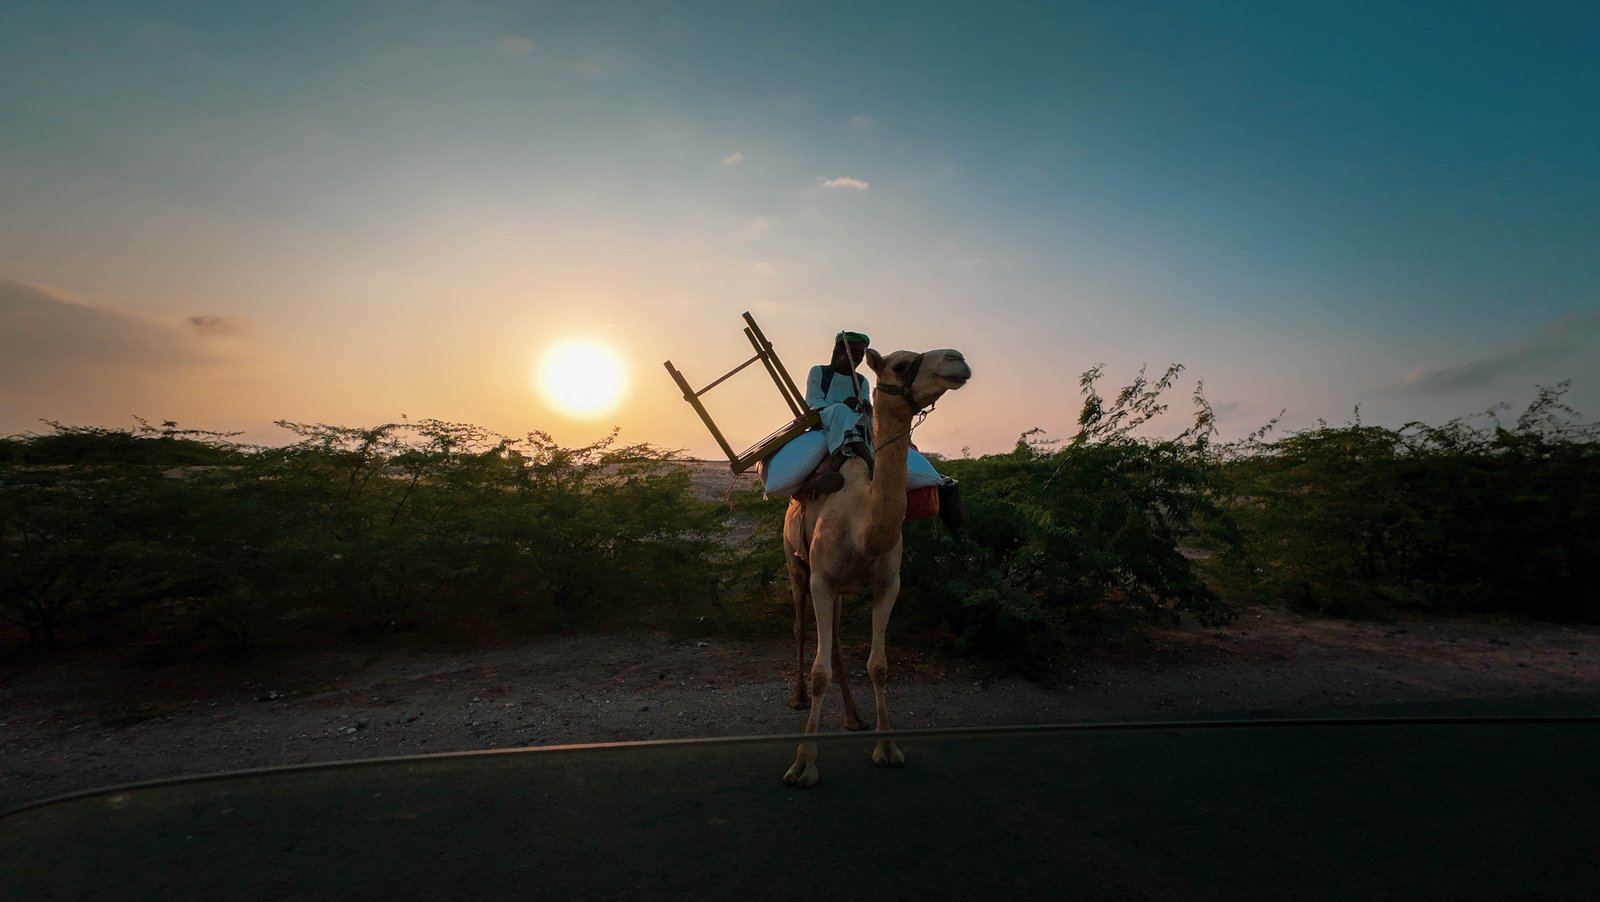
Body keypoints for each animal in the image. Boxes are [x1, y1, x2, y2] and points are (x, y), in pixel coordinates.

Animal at [781, 346, 972, 788]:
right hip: (795, 564)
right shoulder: (820, 580)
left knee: (833, 639)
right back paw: (798, 697)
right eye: (900, 365)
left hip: (837, 587)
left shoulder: (888, 583)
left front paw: (887, 747)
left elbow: (879, 666)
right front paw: (803, 764)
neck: (861, 525)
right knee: (800, 627)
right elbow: (819, 672)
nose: (956, 359)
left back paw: (854, 716)